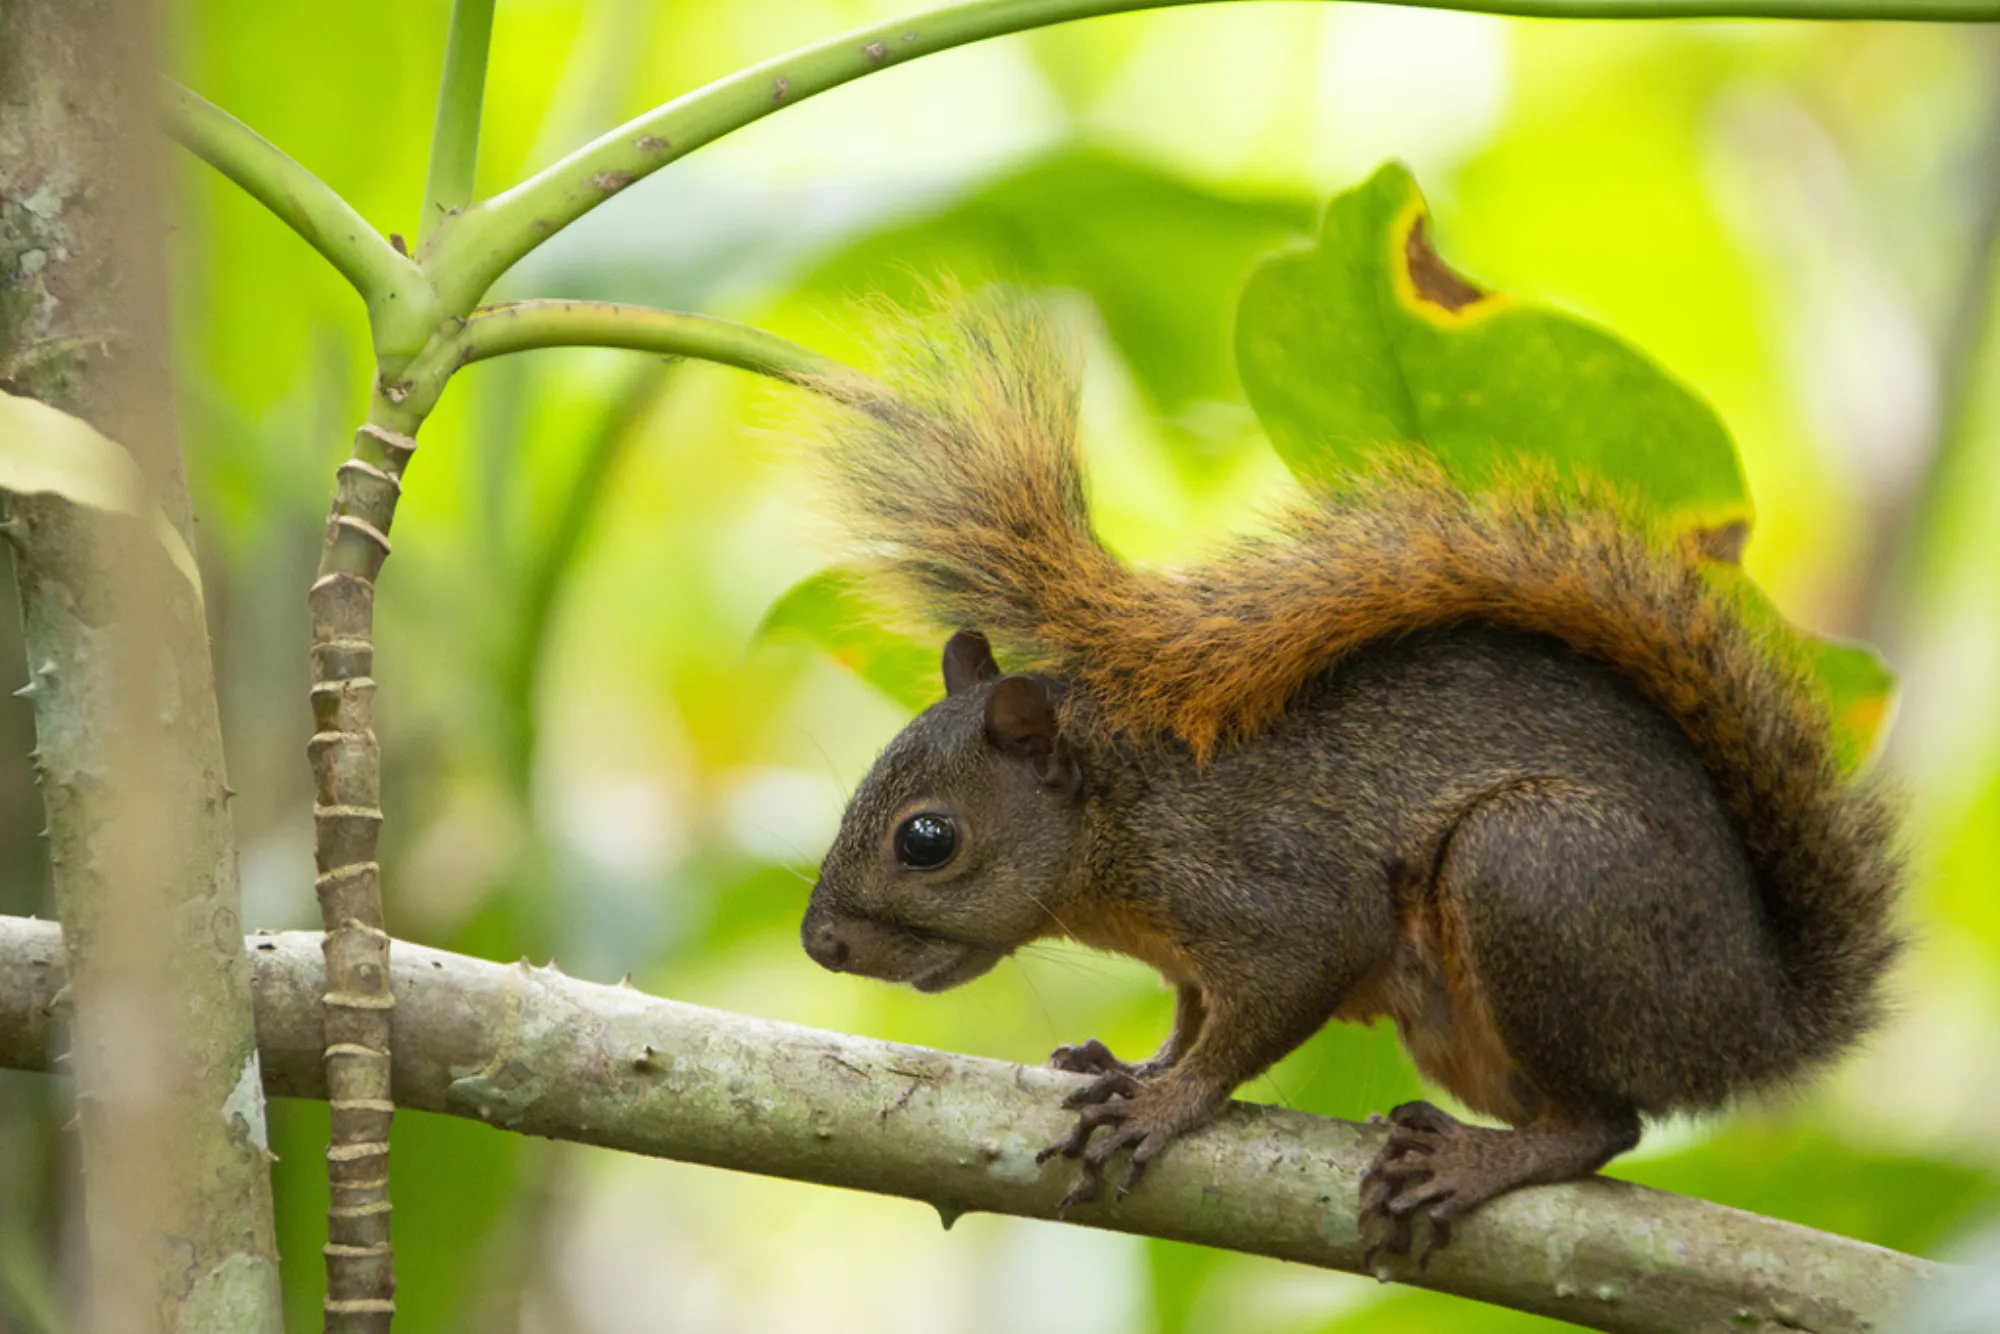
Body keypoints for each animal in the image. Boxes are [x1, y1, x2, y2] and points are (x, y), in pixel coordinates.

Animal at [796, 295, 1903, 1263]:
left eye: (926, 838)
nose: (821, 943)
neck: (1121, 817)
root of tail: (1754, 1017)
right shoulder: (1188, 959)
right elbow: (1191, 1017)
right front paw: (1137, 1064)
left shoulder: (1270, 888)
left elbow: (1276, 996)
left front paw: (1165, 1103)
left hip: (1534, 870)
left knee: (1603, 1125)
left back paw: (1474, 1161)